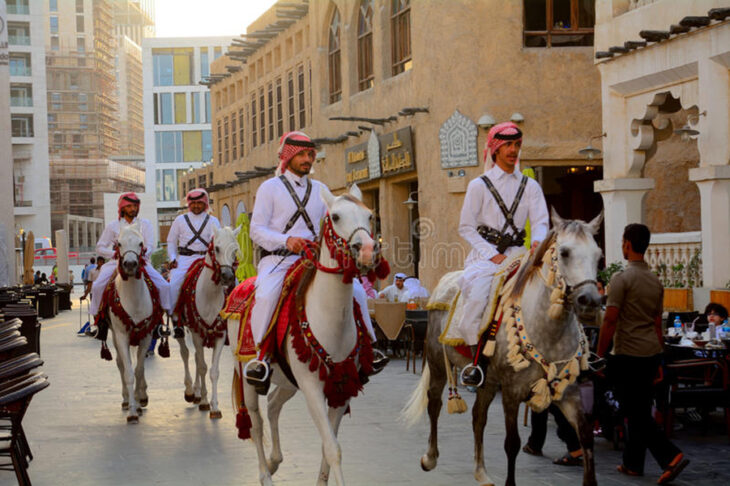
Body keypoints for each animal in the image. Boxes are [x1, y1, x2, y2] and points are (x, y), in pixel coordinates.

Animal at [108, 222, 159, 424]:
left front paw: (139, 401)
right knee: (121, 364)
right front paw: (131, 410)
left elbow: (139, 370)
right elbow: (129, 372)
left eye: (141, 243)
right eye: (118, 243)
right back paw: (125, 400)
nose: (130, 264)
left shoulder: (146, 336)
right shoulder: (122, 335)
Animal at [174, 225, 237, 418]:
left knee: (195, 357)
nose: (227, 276)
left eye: (235, 250)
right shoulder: (196, 333)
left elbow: (213, 371)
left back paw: (196, 392)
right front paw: (203, 401)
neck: (210, 295)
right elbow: (202, 366)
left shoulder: (220, 335)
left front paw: (214, 406)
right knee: (186, 354)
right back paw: (190, 392)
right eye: (217, 248)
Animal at [228, 184, 382, 484]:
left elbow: (328, 446)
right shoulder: (311, 387)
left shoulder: (342, 386)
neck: (330, 317)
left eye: (370, 215)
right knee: (255, 422)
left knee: (273, 404)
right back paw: (265, 474)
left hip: (288, 381)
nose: (368, 251)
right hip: (246, 375)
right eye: (335, 217)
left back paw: (275, 461)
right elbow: (332, 448)